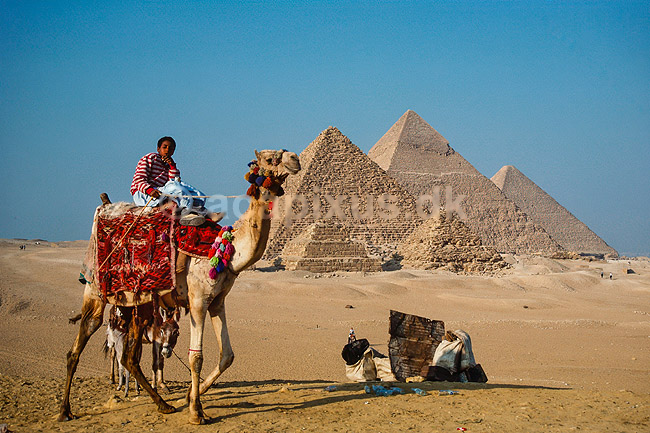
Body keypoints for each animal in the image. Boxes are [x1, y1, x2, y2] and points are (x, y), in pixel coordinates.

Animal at [58, 149, 301, 424]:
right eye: (270, 158)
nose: (295, 159)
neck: (227, 250)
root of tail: (105, 206)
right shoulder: (197, 301)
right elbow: (196, 357)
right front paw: (196, 411)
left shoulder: (217, 301)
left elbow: (227, 356)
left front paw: (188, 397)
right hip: (95, 291)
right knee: (81, 341)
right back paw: (65, 410)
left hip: (139, 303)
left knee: (130, 357)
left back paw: (163, 405)